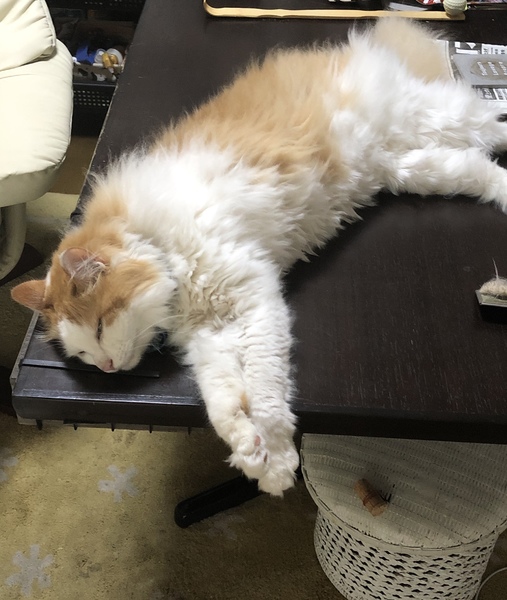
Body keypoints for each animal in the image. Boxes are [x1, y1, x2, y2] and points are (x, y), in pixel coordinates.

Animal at [11, 18, 507, 496]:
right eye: (82, 353)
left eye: (99, 327)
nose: (108, 369)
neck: (158, 243)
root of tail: (355, 47)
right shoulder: (210, 335)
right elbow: (224, 403)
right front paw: (254, 456)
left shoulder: (254, 306)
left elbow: (267, 397)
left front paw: (280, 459)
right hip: (412, 166)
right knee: (483, 171)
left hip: (440, 119)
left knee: (492, 120)